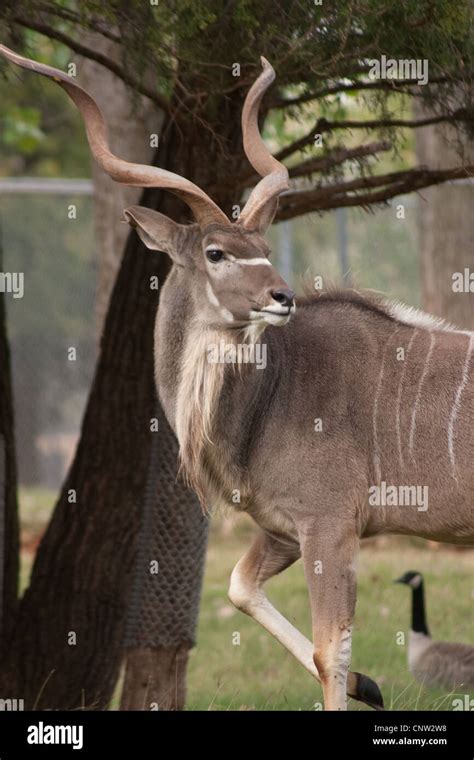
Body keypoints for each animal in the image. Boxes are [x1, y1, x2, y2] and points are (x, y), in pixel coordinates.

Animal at [1, 46, 472, 712]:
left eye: (265, 246)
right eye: (216, 252)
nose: (283, 296)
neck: (270, 394)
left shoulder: (330, 526)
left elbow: (330, 653)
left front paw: (361, 684)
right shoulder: (287, 529)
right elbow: (239, 588)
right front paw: (372, 686)